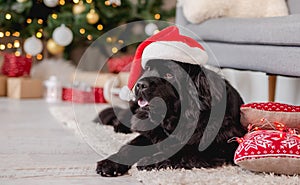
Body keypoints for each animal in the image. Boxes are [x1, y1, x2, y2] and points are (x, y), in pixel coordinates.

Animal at [95, 59, 246, 176]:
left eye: (169, 75)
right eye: (149, 68)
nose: (140, 85)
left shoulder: (219, 144)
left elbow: (183, 151)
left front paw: (150, 160)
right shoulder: (151, 134)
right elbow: (130, 147)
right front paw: (110, 163)